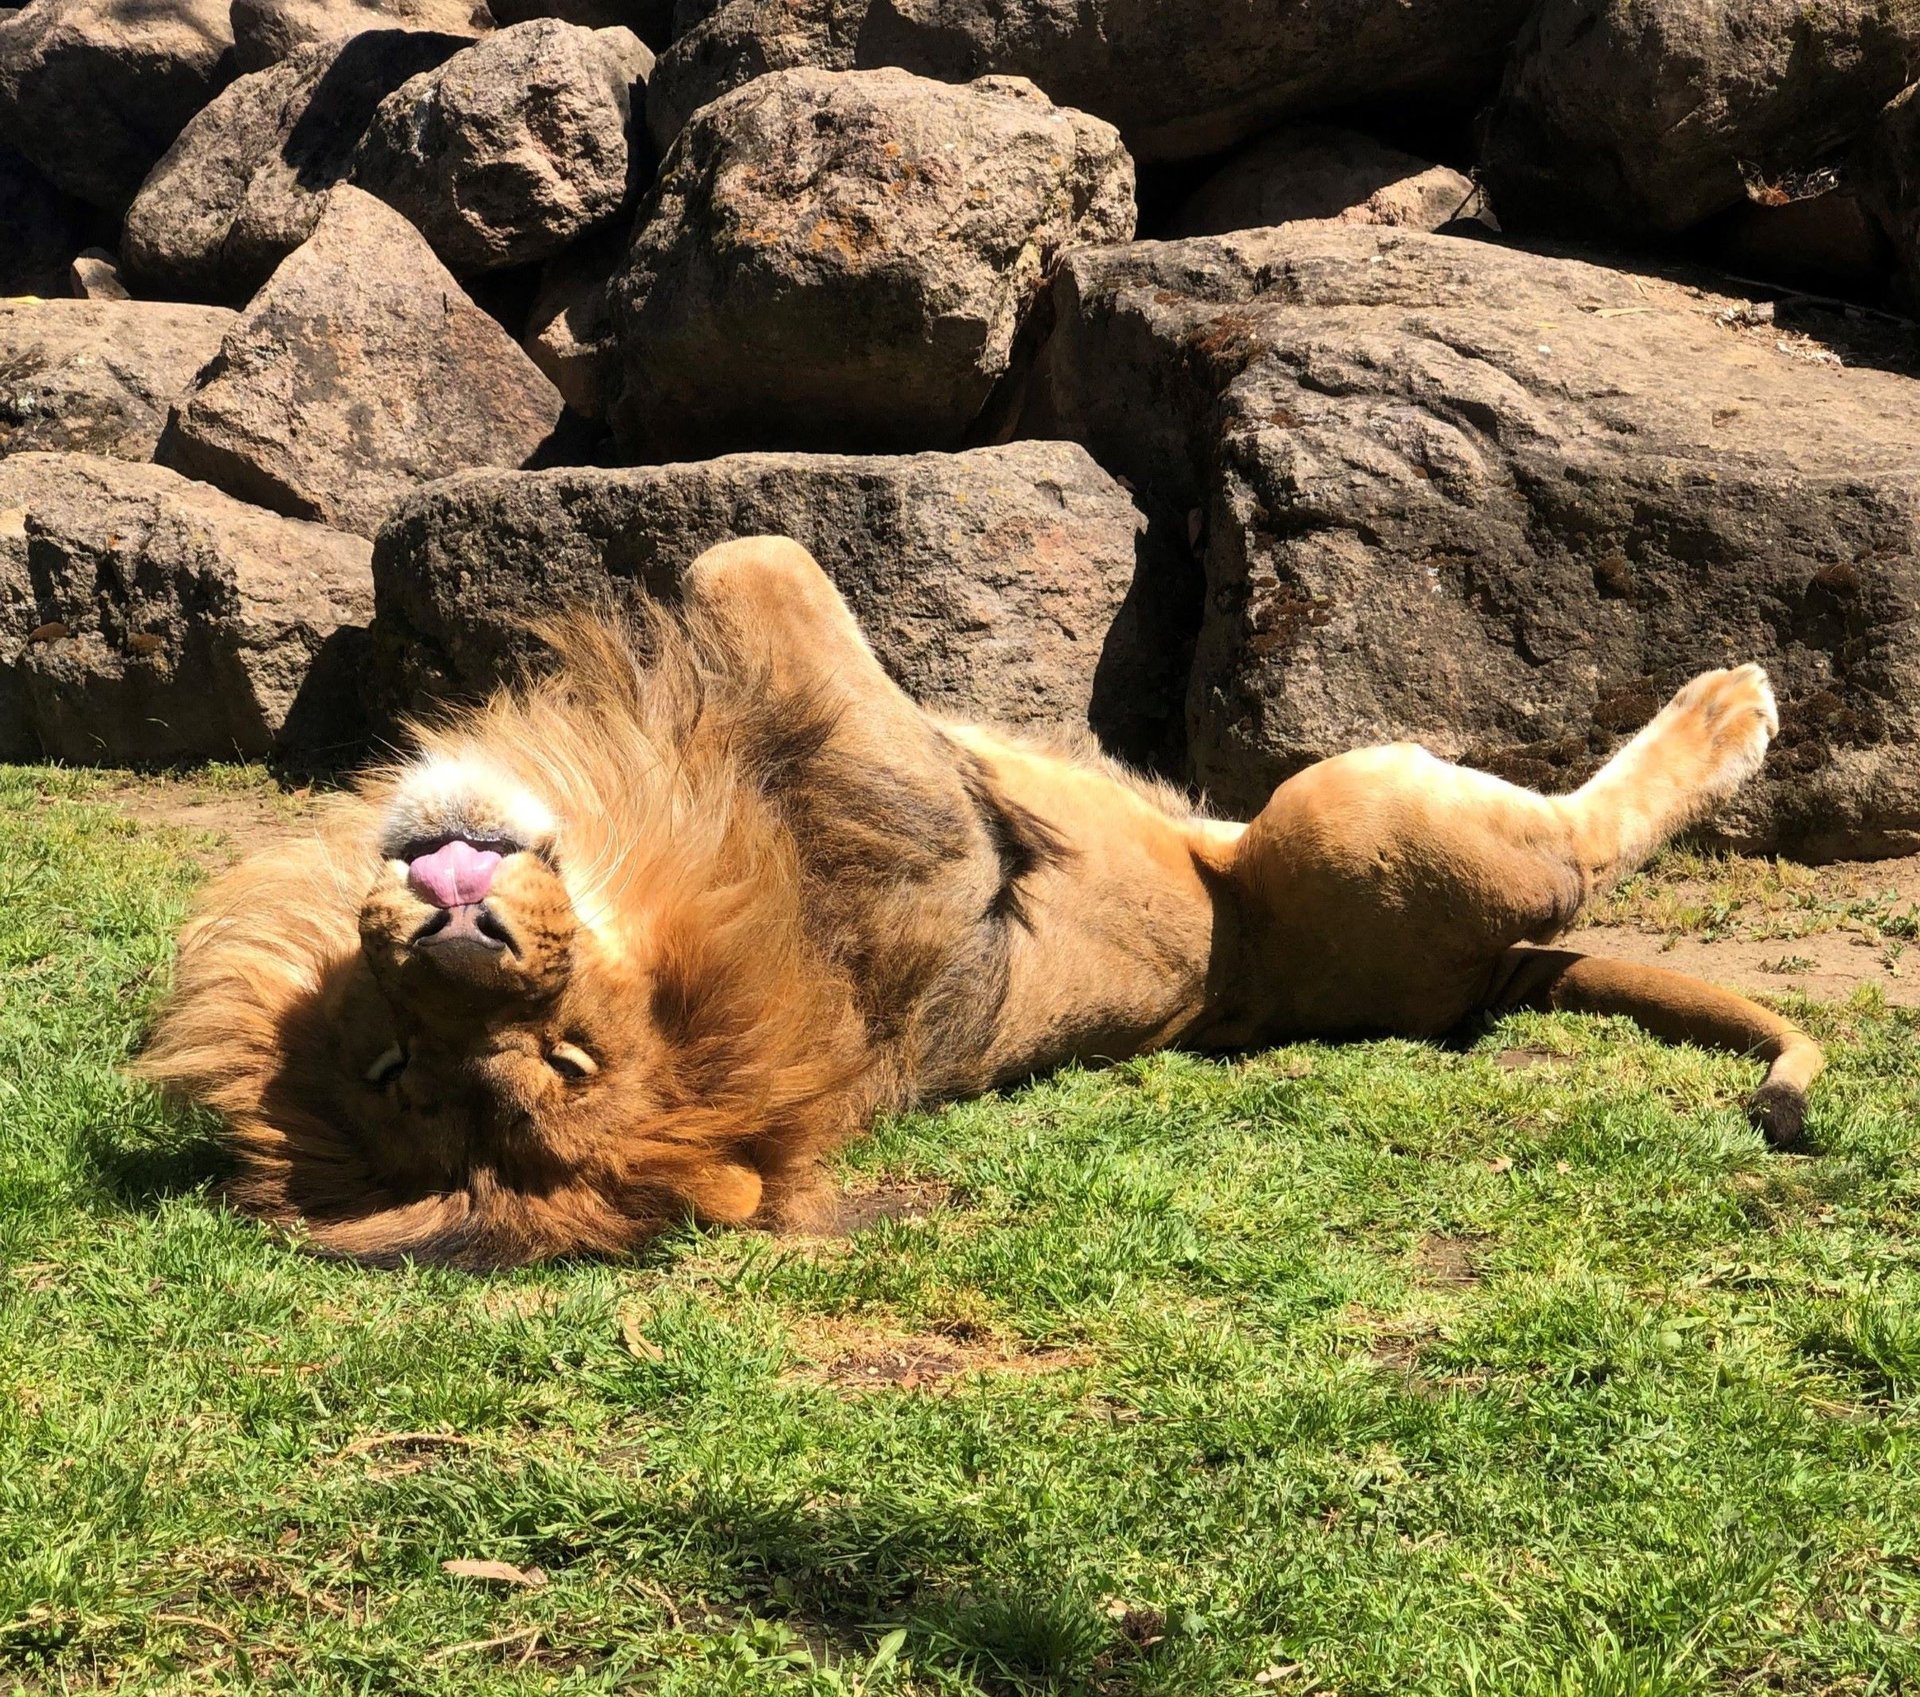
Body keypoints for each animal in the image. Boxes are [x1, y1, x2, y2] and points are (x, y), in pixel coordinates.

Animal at [139, 536, 1825, 1268]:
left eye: (561, 1058)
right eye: (406, 1068)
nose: (461, 935)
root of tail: (1482, 984)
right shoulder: (908, 803)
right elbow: (754, 553)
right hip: (1351, 814)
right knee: (1572, 838)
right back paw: (1732, 702)